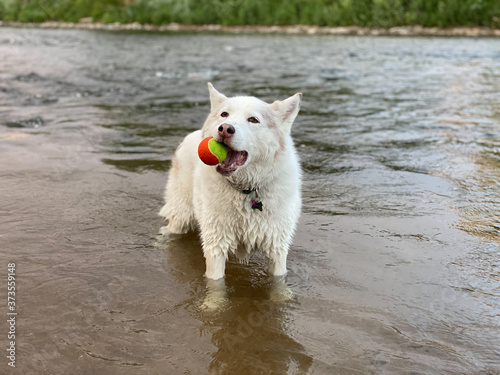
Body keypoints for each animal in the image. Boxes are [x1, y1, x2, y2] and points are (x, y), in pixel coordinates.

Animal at [160, 83, 300, 280]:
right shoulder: (216, 245)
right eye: (224, 114)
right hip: (181, 214)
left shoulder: (277, 248)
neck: (246, 190)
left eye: (253, 120)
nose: (225, 128)